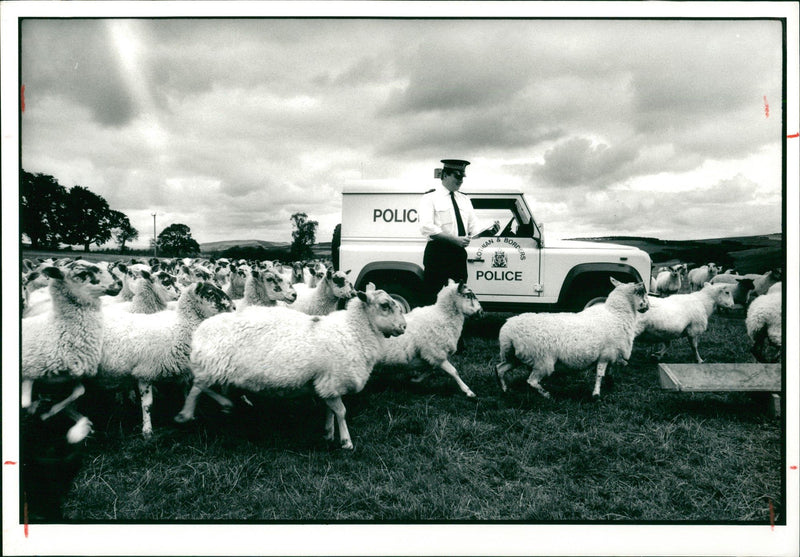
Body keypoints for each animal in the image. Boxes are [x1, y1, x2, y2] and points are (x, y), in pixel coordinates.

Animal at [21, 260, 122, 412]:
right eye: (82, 273)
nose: (119, 282)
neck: (58, 329)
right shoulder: (29, 371)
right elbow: (25, 403)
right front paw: (36, 408)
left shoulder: (74, 374)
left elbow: (79, 392)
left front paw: (51, 410)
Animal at [97, 280, 234, 436]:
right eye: (210, 292)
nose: (234, 307)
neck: (181, 326)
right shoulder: (145, 372)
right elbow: (147, 405)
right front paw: (147, 430)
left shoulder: (184, 370)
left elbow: (197, 388)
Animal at [171, 284, 404, 450]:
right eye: (385, 305)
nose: (403, 327)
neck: (353, 331)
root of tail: (201, 329)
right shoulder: (333, 380)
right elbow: (341, 411)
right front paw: (346, 442)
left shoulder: (326, 384)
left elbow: (331, 410)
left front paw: (328, 433)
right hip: (212, 365)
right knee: (196, 388)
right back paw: (185, 414)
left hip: (217, 369)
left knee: (202, 386)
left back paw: (226, 404)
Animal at [494, 278, 648, 400]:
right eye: (641, 293)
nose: (647, 307)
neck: (616, 314)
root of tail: (507, 330)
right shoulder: (605, 354)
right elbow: (599, 374)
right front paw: (596, 395)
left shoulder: (611, 355)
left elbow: (609, 372)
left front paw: (610, 384)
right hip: (542, 359)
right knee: (531, 381)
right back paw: (547, 395)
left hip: (515, 356)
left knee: (500, 368)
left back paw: (505, 390)